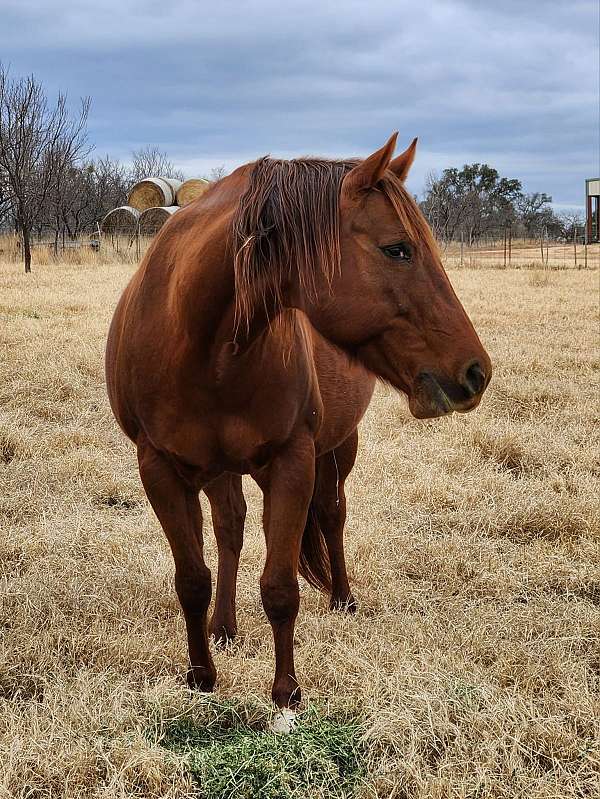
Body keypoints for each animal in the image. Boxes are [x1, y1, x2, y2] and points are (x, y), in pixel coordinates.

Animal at [106, 134, 492, 708]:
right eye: (397, 248)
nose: (476, 372)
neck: (200, 344)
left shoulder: (293, 460)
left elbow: (281, 587)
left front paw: (286, 692)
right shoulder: (159, 468)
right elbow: (192, 579)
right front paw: (201, 676)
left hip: (337, 449)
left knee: (331, 516)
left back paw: (342, 598)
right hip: (220, 469)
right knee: (231, 528)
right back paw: (224, 627)